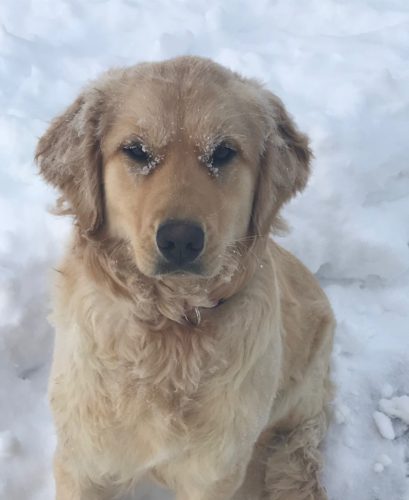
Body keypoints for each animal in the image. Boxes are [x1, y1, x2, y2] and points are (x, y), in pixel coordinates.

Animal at [36, 55, 334, 500]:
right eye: (136, 151)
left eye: (223, 152)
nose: (179, 240)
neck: (169, 322)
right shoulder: (85, 461)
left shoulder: (215, 473)